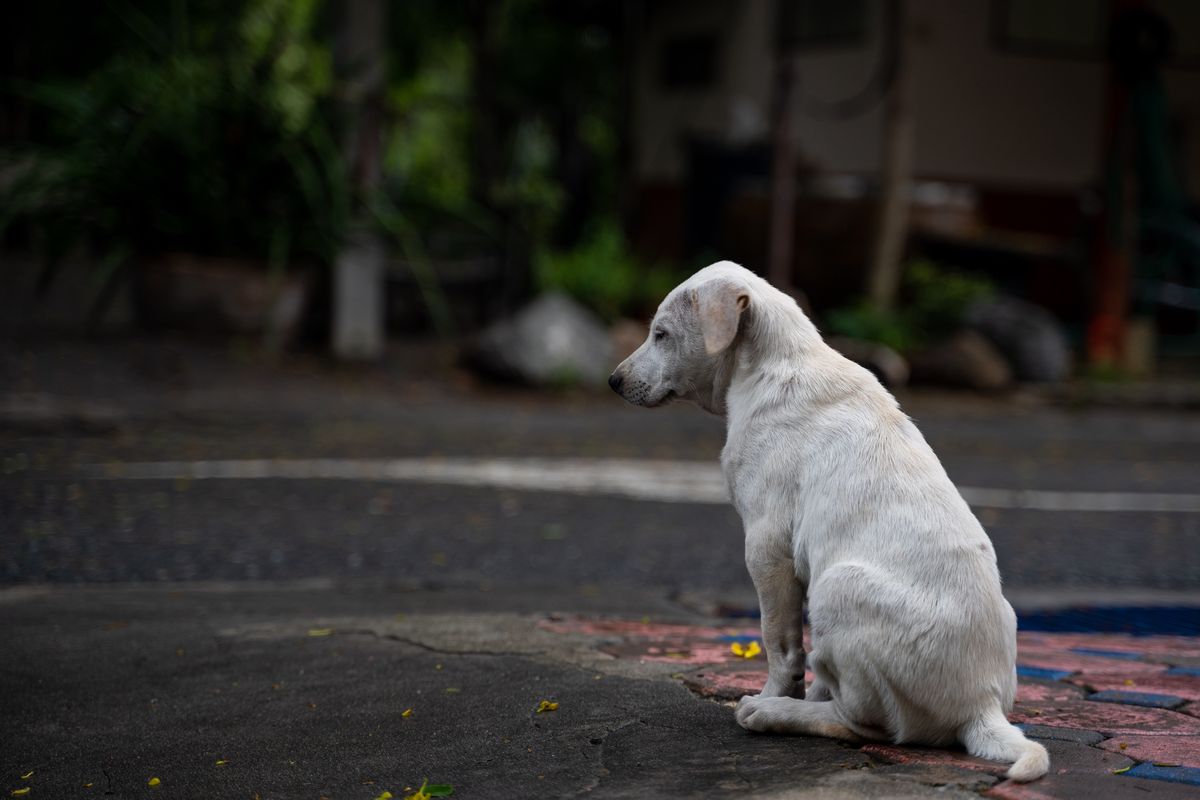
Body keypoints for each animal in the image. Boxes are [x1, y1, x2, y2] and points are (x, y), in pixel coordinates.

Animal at [609, 261, 1051, 782]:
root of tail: (981, 706)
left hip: (837, 586)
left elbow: (778, 641)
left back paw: (775, 712)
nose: (613, 381)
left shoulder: (766, 545)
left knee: (864, 724)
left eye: (661, 335)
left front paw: (775, 694)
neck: (774, 365)